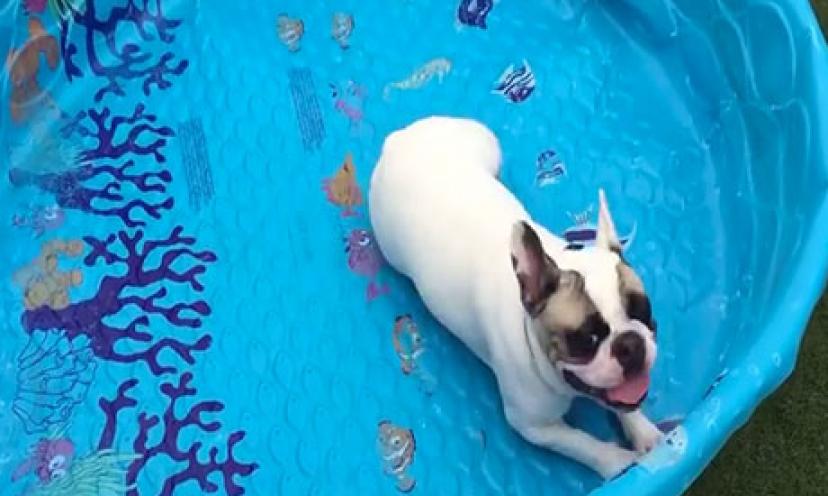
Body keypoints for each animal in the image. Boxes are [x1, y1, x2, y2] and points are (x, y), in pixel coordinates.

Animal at [368, 116, 662, 479]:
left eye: (643, 310)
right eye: (586, 339)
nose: (630, 345)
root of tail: (400, 139)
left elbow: (626, 402)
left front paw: (643, 430)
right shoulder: (534, 426)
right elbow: (584, 445)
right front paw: (619, 462)